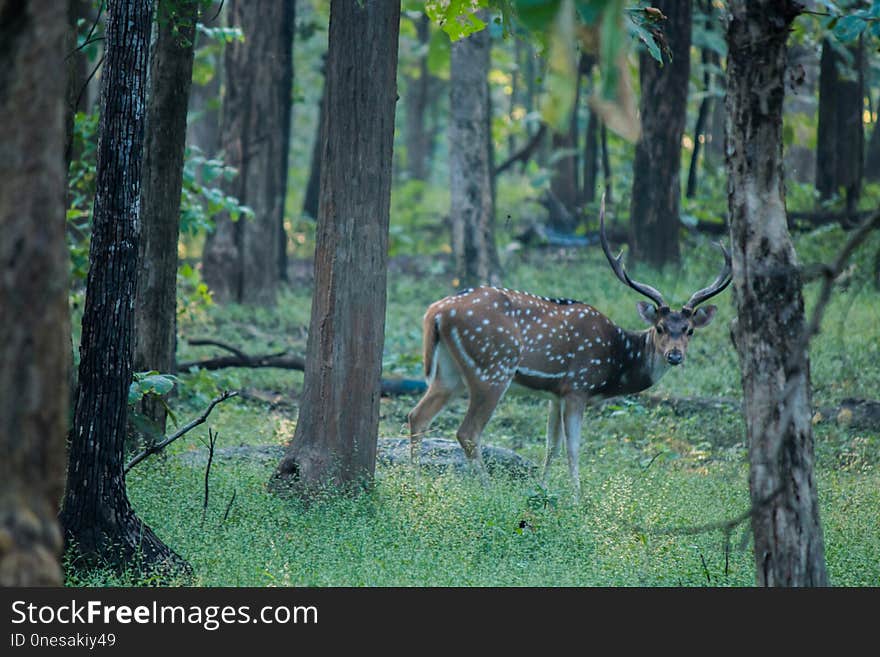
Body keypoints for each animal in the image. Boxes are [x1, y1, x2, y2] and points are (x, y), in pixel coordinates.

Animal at [410, 197, 732, 494]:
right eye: (660, 327)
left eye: (689, 330)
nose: (674, 355)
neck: (617, 362)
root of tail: (436, 311)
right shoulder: (578, 385)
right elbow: (573, 447)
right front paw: (577, 497)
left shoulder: (556, 393)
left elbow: (551, 444)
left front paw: (542, 487)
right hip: (492, 368)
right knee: (467, 432)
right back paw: (488, 490)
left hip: (449, 372)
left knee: (418, 415)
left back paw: (414, 483)